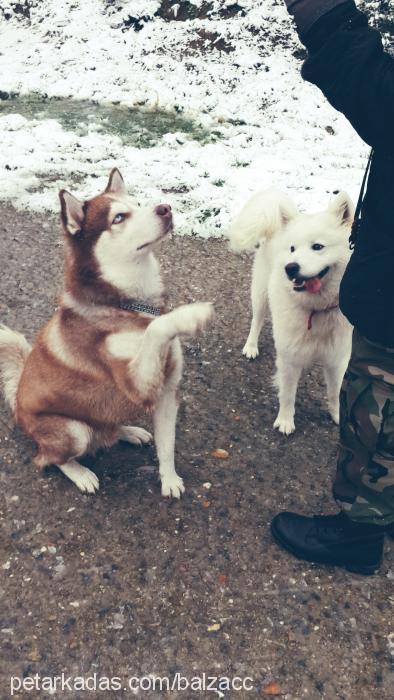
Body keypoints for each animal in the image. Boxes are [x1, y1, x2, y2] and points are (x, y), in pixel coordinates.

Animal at [228, 189, 354, 434]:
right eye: (293, 249)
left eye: (318, 247)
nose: (291, 267)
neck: (317, 309)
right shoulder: (289, 359)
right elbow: (287, 394)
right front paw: (285, 421)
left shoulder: (337, 359)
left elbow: (335, 392)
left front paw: (337, 416)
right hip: (260, 294)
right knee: (257, 320)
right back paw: (251, 346)